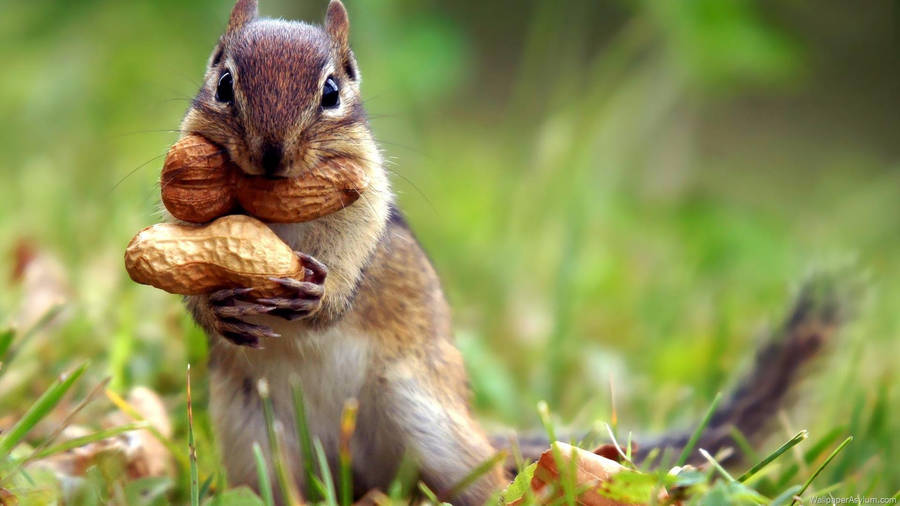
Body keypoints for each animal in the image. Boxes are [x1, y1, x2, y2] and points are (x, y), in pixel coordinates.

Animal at [173, 1, 853, 504]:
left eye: (332, 91)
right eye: (224, 82)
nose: (270, 156)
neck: (273, 211)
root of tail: (353, 469)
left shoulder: (366, 210)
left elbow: (350, 265)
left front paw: (321, 297)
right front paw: (216, 308)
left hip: (431, 426)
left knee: (490, 484)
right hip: (255, 443)